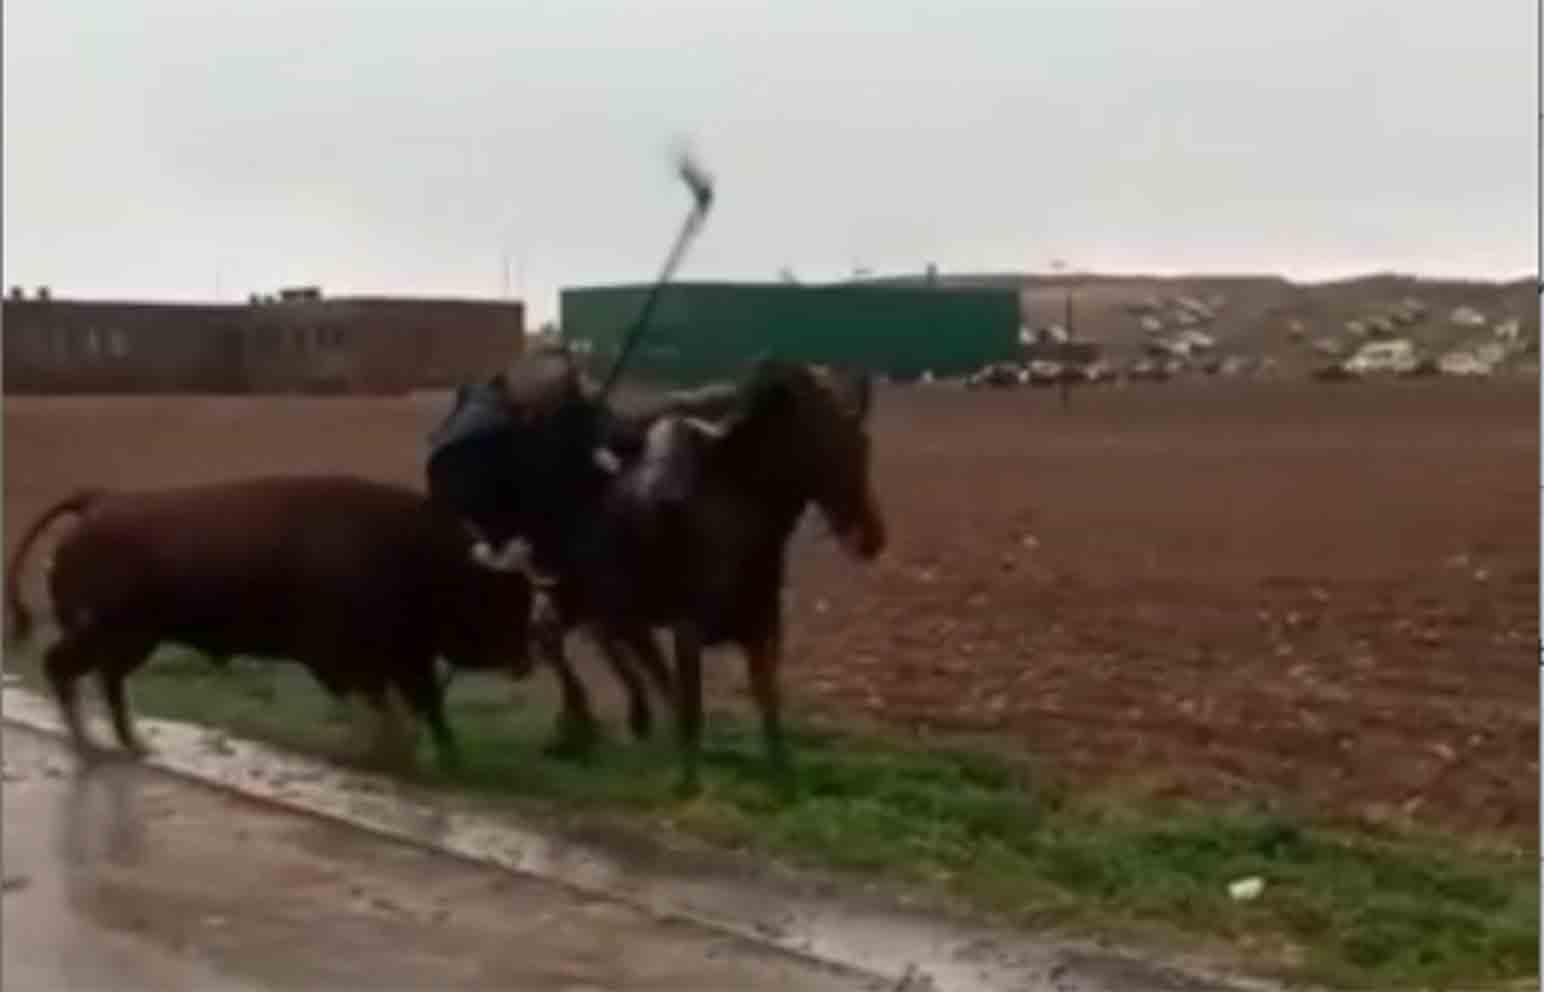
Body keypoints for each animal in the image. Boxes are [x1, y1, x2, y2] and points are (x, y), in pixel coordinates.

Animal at [6, 469, 534, 766]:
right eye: (503, 598)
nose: (528, 662)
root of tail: (101, 500)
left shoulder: (406, 657)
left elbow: (419, 704)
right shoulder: (339, 658)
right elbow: (379, 706)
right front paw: (381, 754)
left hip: (132, 640)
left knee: (104, 678)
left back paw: (132, 744)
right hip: (110, 633)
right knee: (64, 666)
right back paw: (91, 745)